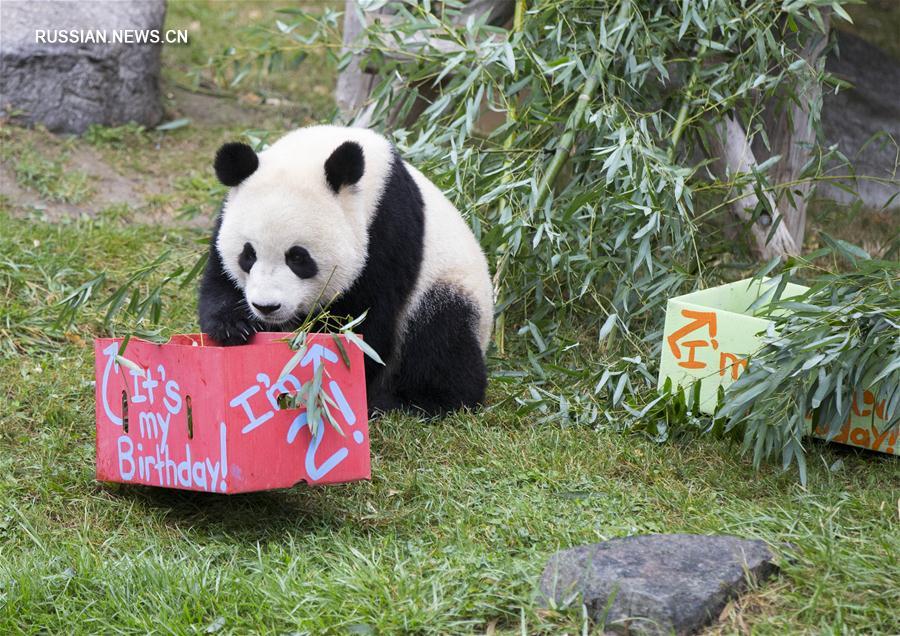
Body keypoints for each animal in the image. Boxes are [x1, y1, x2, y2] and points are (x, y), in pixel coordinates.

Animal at [199, 126, 492, 414]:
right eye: (248, 255)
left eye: (298, 257)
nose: (267, 307)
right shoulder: (225, 219)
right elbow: (219, 281)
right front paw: (233, 327)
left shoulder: (387, 233)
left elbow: (365, 322)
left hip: (448, 285)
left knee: (441, 339)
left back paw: (412, 402)